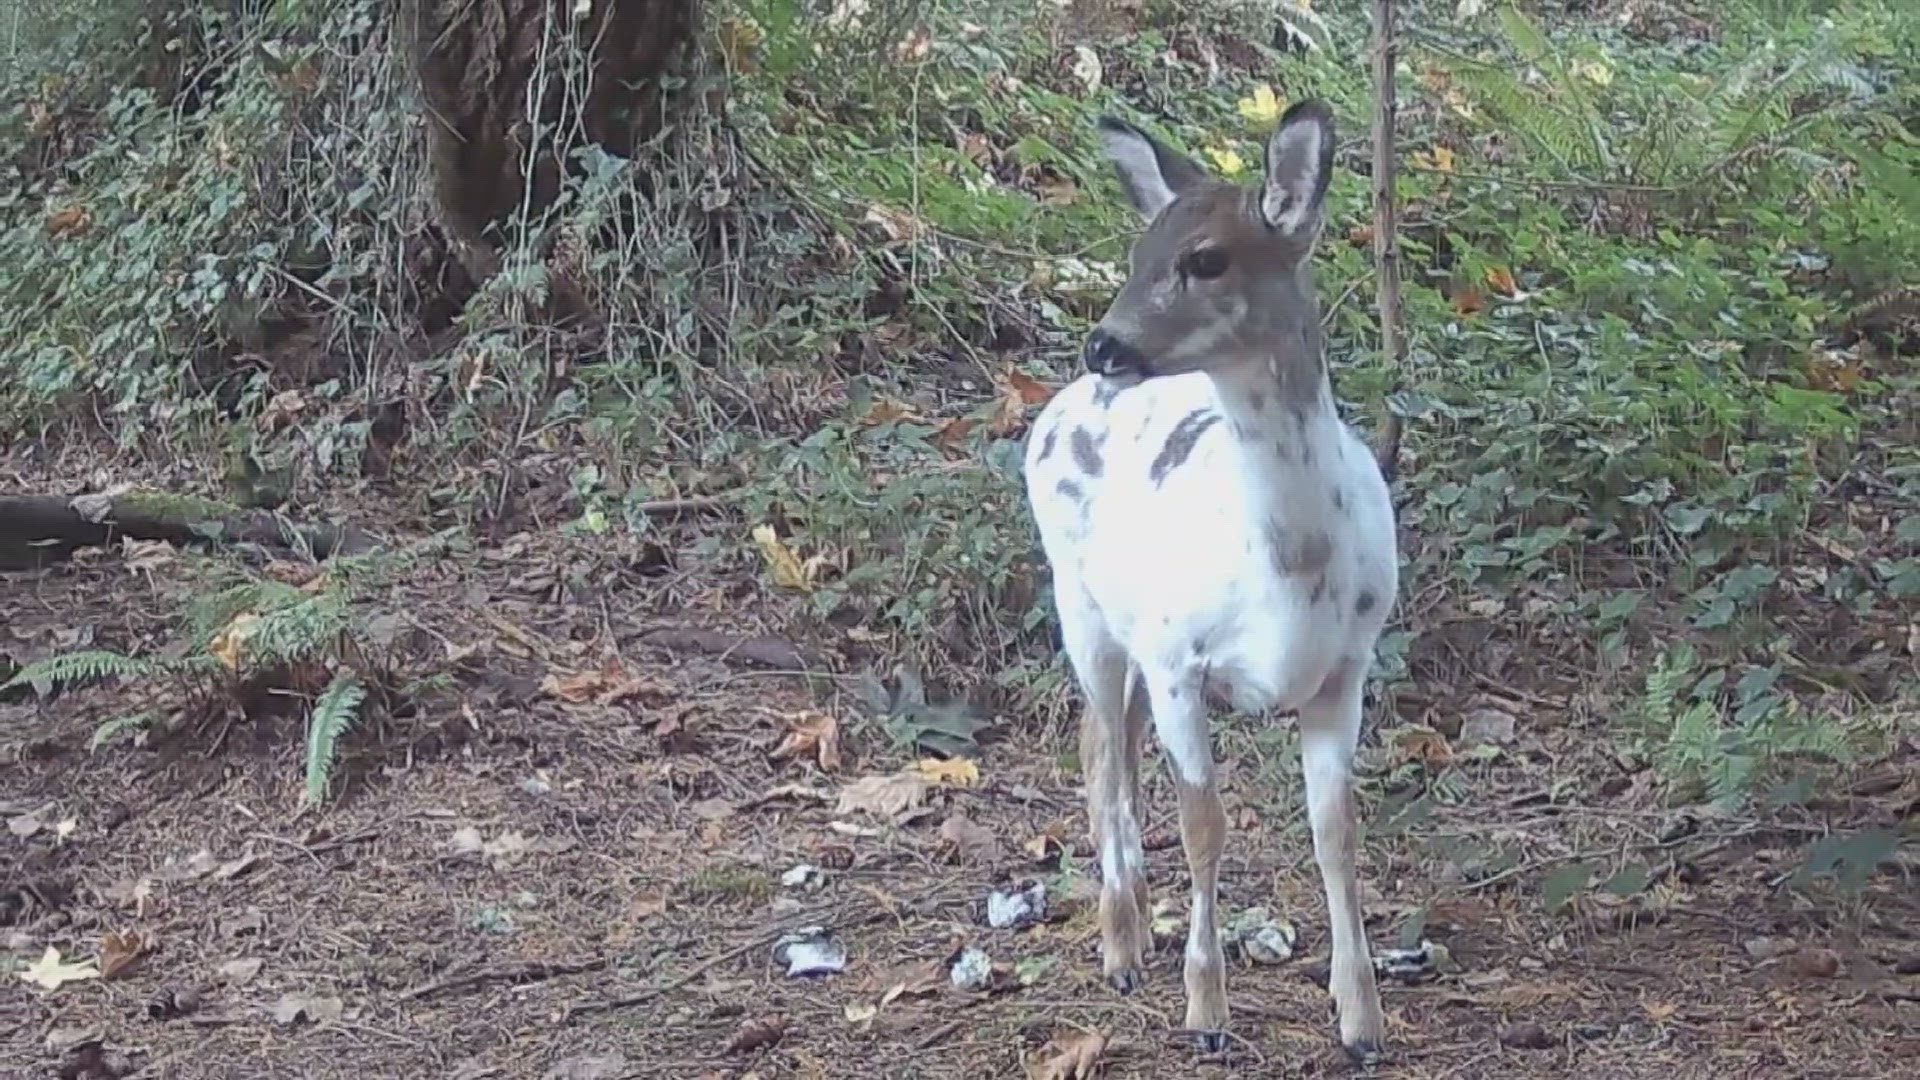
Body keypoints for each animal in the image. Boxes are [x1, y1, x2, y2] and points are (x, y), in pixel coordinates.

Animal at [1021, 100, 1397, 1053]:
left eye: (1207, 259)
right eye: (1136, 254)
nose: (1104, 342)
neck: (1289, 568)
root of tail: (1053, 410)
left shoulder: (1348, 667)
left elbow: (1336, 831)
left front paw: (1360, 1018)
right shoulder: (1177, 660)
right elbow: (1205, 827)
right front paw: (1206, 1011)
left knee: (1106, 744)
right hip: (1081, 606)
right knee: (1101, 752)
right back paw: (1121, 948)